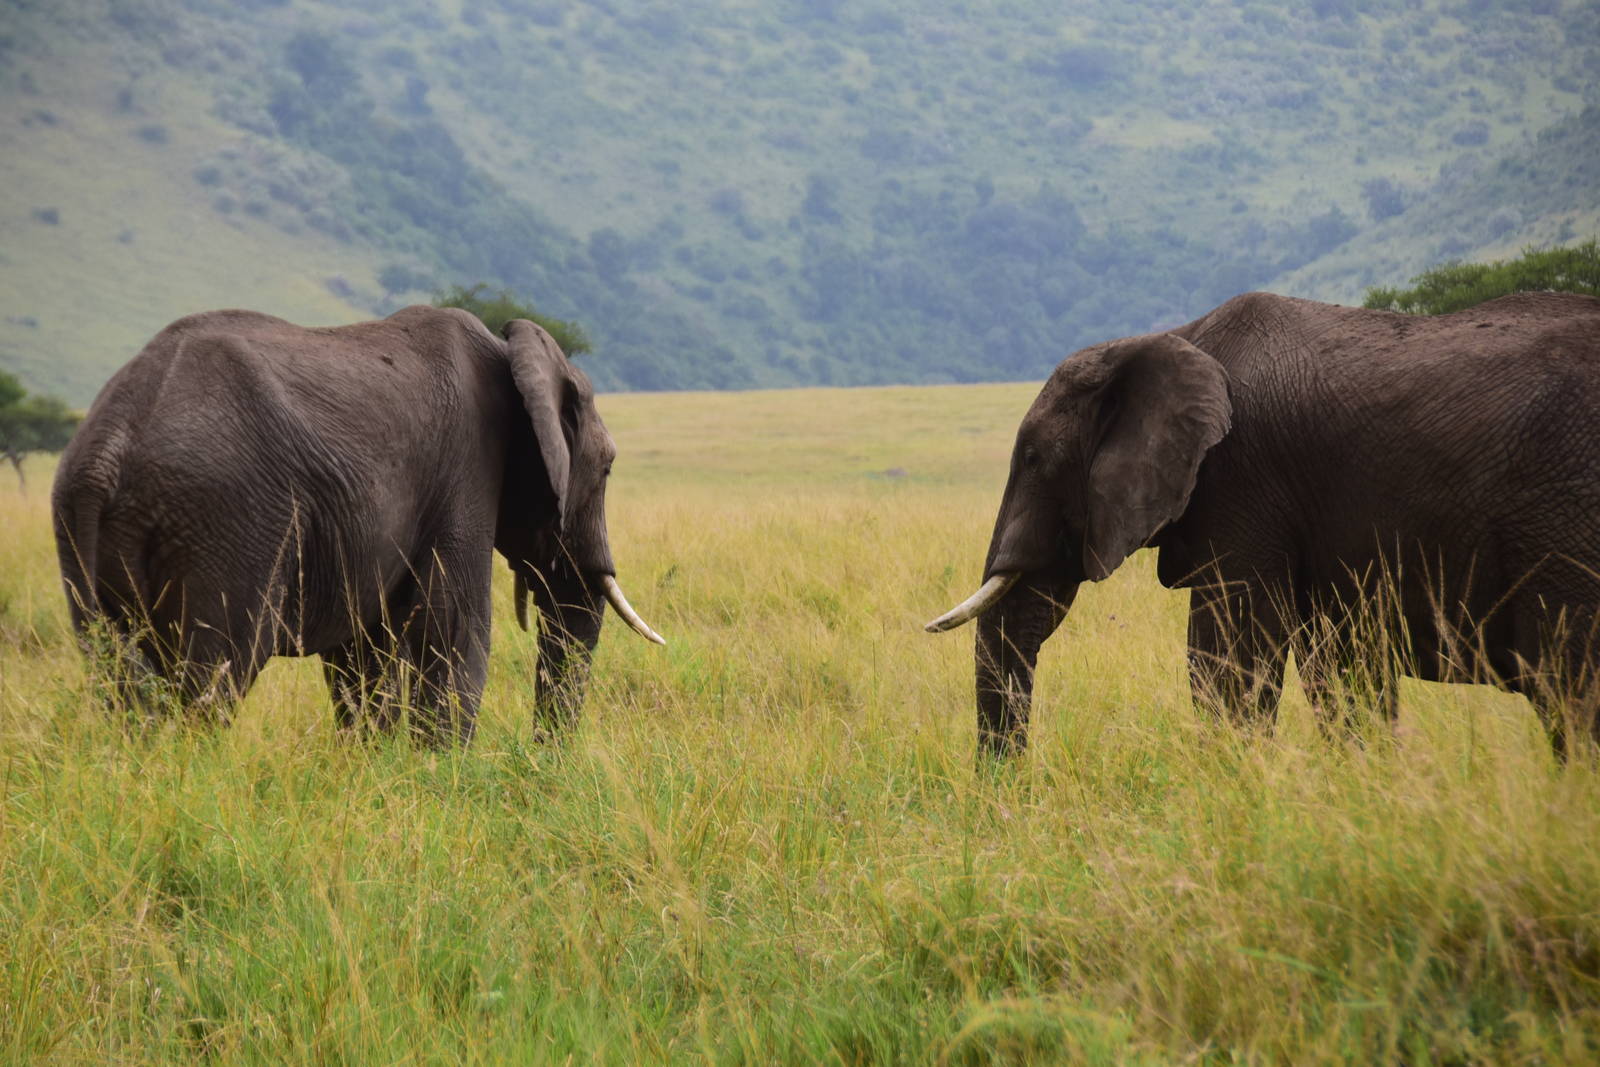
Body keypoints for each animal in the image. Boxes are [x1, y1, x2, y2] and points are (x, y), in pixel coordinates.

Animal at [51, 305, 663, 742]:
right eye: (608, 468)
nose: (541, 758)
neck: (509, 349)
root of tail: (108, 449)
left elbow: (364, 652)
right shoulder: (465, 470)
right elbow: (455, 629)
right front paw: (441, 777)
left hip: (84, 534)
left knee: (119, 678)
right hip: (225, 524)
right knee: (213, 678)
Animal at [926, 290, 1600, 758]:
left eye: (1034, 458)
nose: (1010, 795)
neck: (1172, 338)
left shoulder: (1243, 479)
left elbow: (1228, 663)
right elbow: (1345, 671)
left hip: (1564, 525)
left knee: (1571, 685)